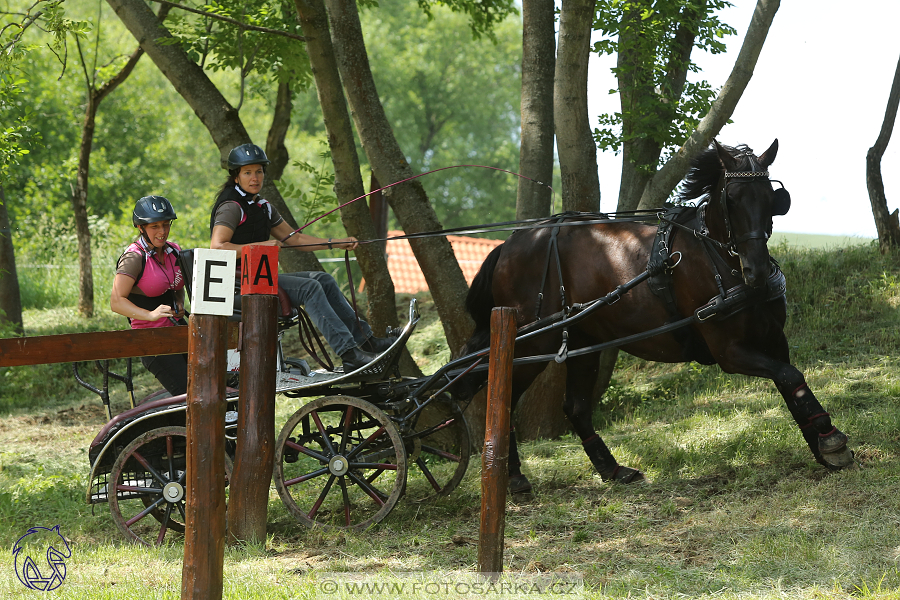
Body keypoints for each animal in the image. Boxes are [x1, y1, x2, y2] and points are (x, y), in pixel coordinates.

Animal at [460, 141, 856, 492]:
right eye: (731, 199)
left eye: (771, 198)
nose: (756, 272)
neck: (718, 258)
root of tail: (511, 242)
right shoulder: (729, 352)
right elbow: (789, 376)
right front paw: (830, 439)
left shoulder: (774, 339)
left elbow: (790, 381)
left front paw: (821, 442)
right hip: (532, 343)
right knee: (503, 401)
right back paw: (514, 478)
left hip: (584, 342)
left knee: (576, 407)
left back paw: (612, 470)